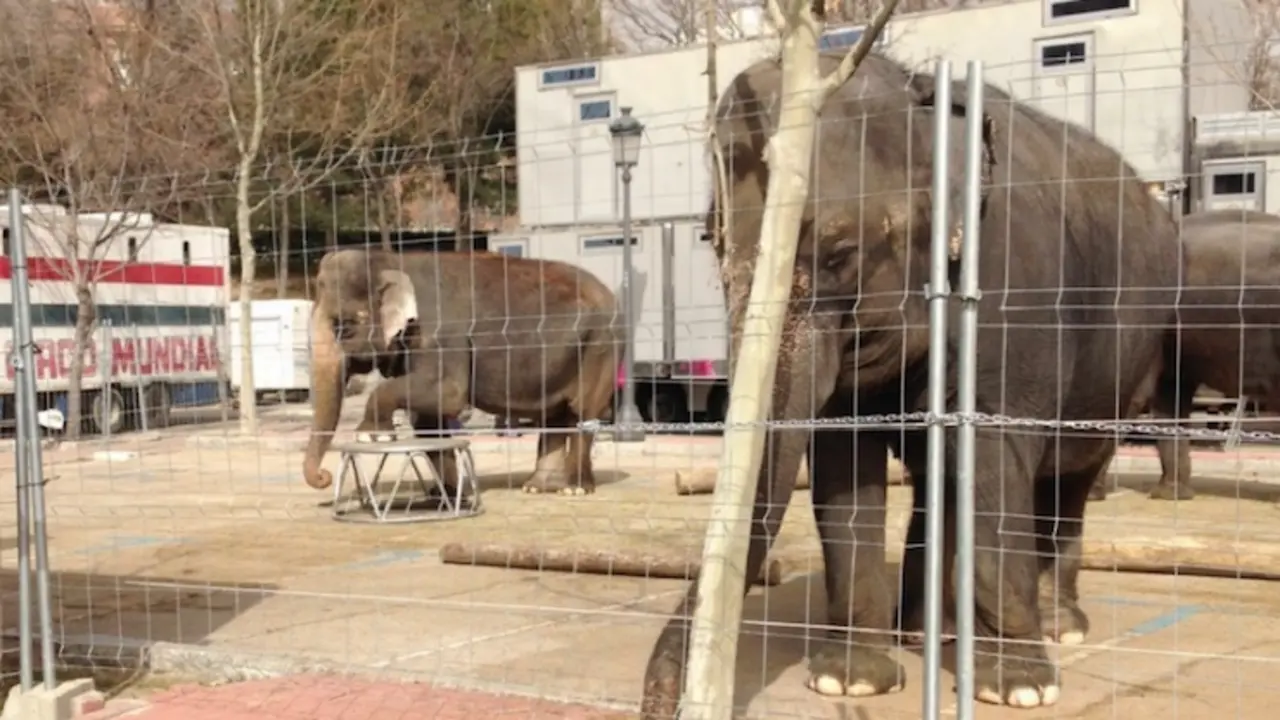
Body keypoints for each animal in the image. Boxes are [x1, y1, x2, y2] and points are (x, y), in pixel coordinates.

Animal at [300, 248, 623, 496]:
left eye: (343, 327)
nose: (324, 477)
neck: (390, 259)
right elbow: (428, 424)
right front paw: (444, 493)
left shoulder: (443, 338)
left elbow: (450, 394)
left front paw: (371, 437)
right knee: (553, 417)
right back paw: (538, 487)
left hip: (600, 346)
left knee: (582, 412)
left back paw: (574, 489)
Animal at [638, 51, 1182, 717]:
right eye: (713, 248)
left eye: (841, 252)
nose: (662, 701)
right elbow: (845, 470)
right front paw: (850, 681)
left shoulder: (1015, 292)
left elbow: (994, 458)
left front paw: (1020, 689)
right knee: (936, 474)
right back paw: (927, 631)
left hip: (1130, 361)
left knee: (1071, 476)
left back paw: (1057, 627)